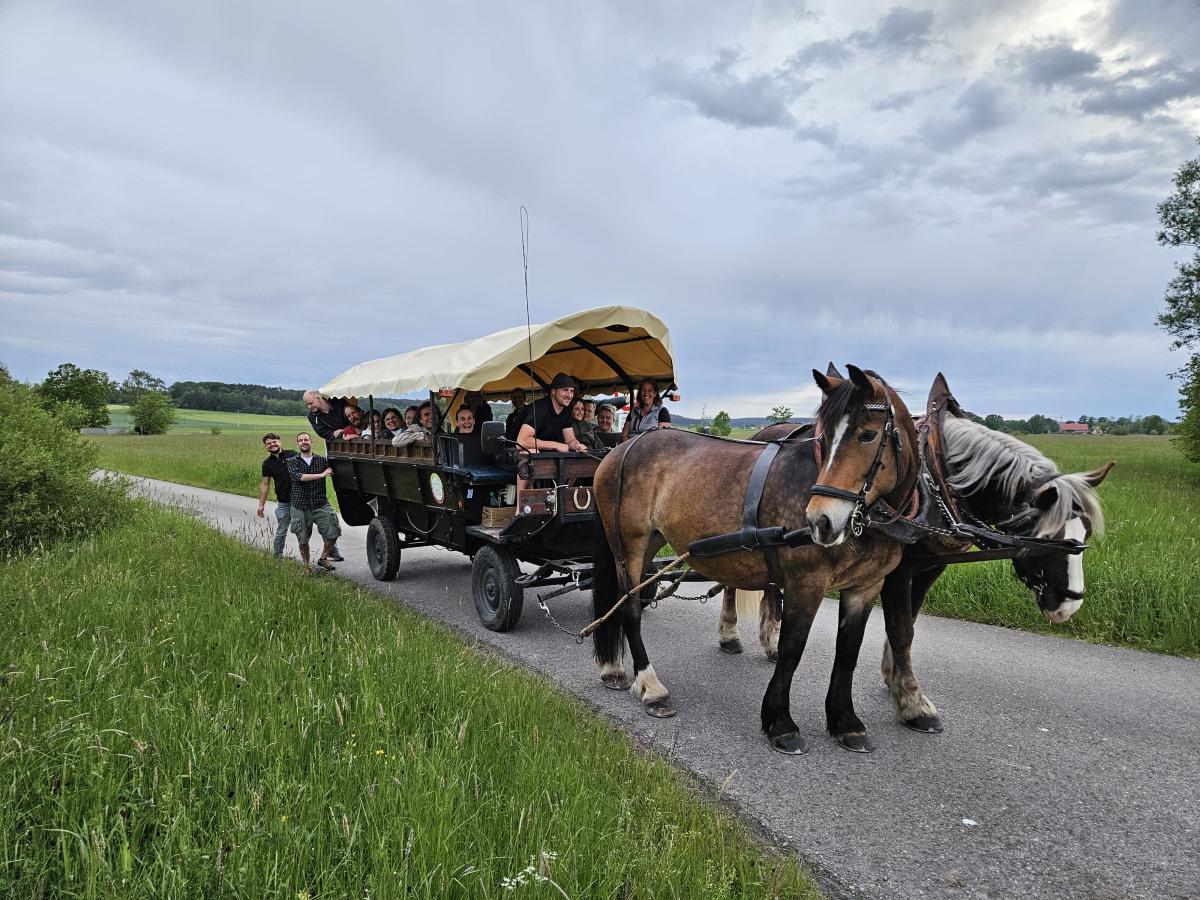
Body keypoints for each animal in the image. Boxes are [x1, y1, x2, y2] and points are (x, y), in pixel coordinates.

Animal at [590, 364, 916, 753]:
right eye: (824, 440)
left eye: (868, 435)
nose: (820, 521)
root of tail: (622, 449)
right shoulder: (806, 582)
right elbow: (791, 648)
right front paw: (780, 722)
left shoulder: (865, 587)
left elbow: (848, 651)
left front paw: (845, 722)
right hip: (629, 545)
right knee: (630, 610)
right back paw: (651, 687)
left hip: (648, 544)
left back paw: (612, 667)